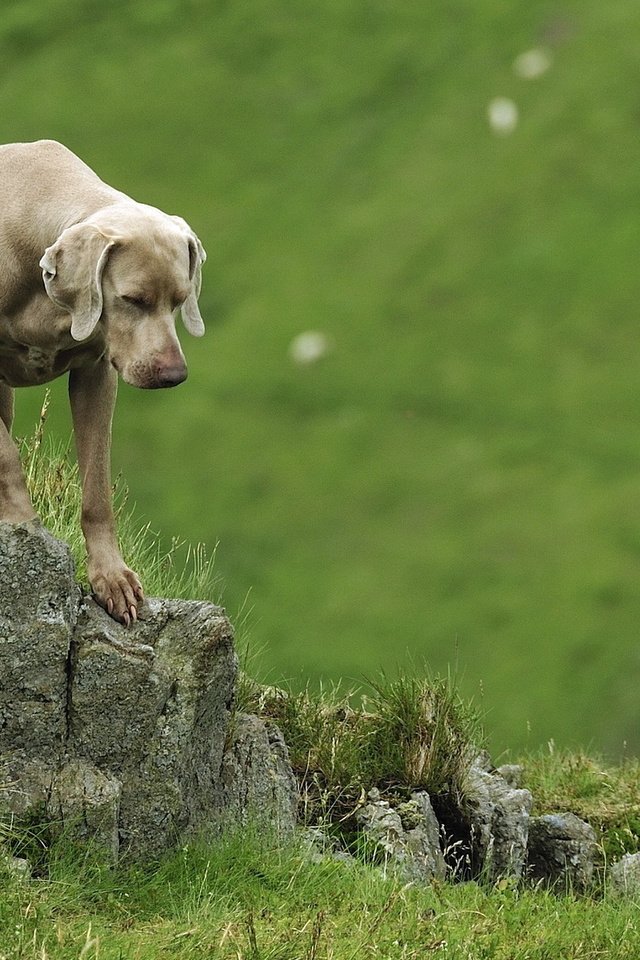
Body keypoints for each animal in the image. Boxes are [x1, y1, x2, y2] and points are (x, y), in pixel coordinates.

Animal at [0, 139, 206, 628]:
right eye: (132, 299)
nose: (174, 376)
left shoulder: (96, 373)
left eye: (180, 300)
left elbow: (97, 487)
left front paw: (111, 578)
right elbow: (7, 457)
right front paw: (23, 529)